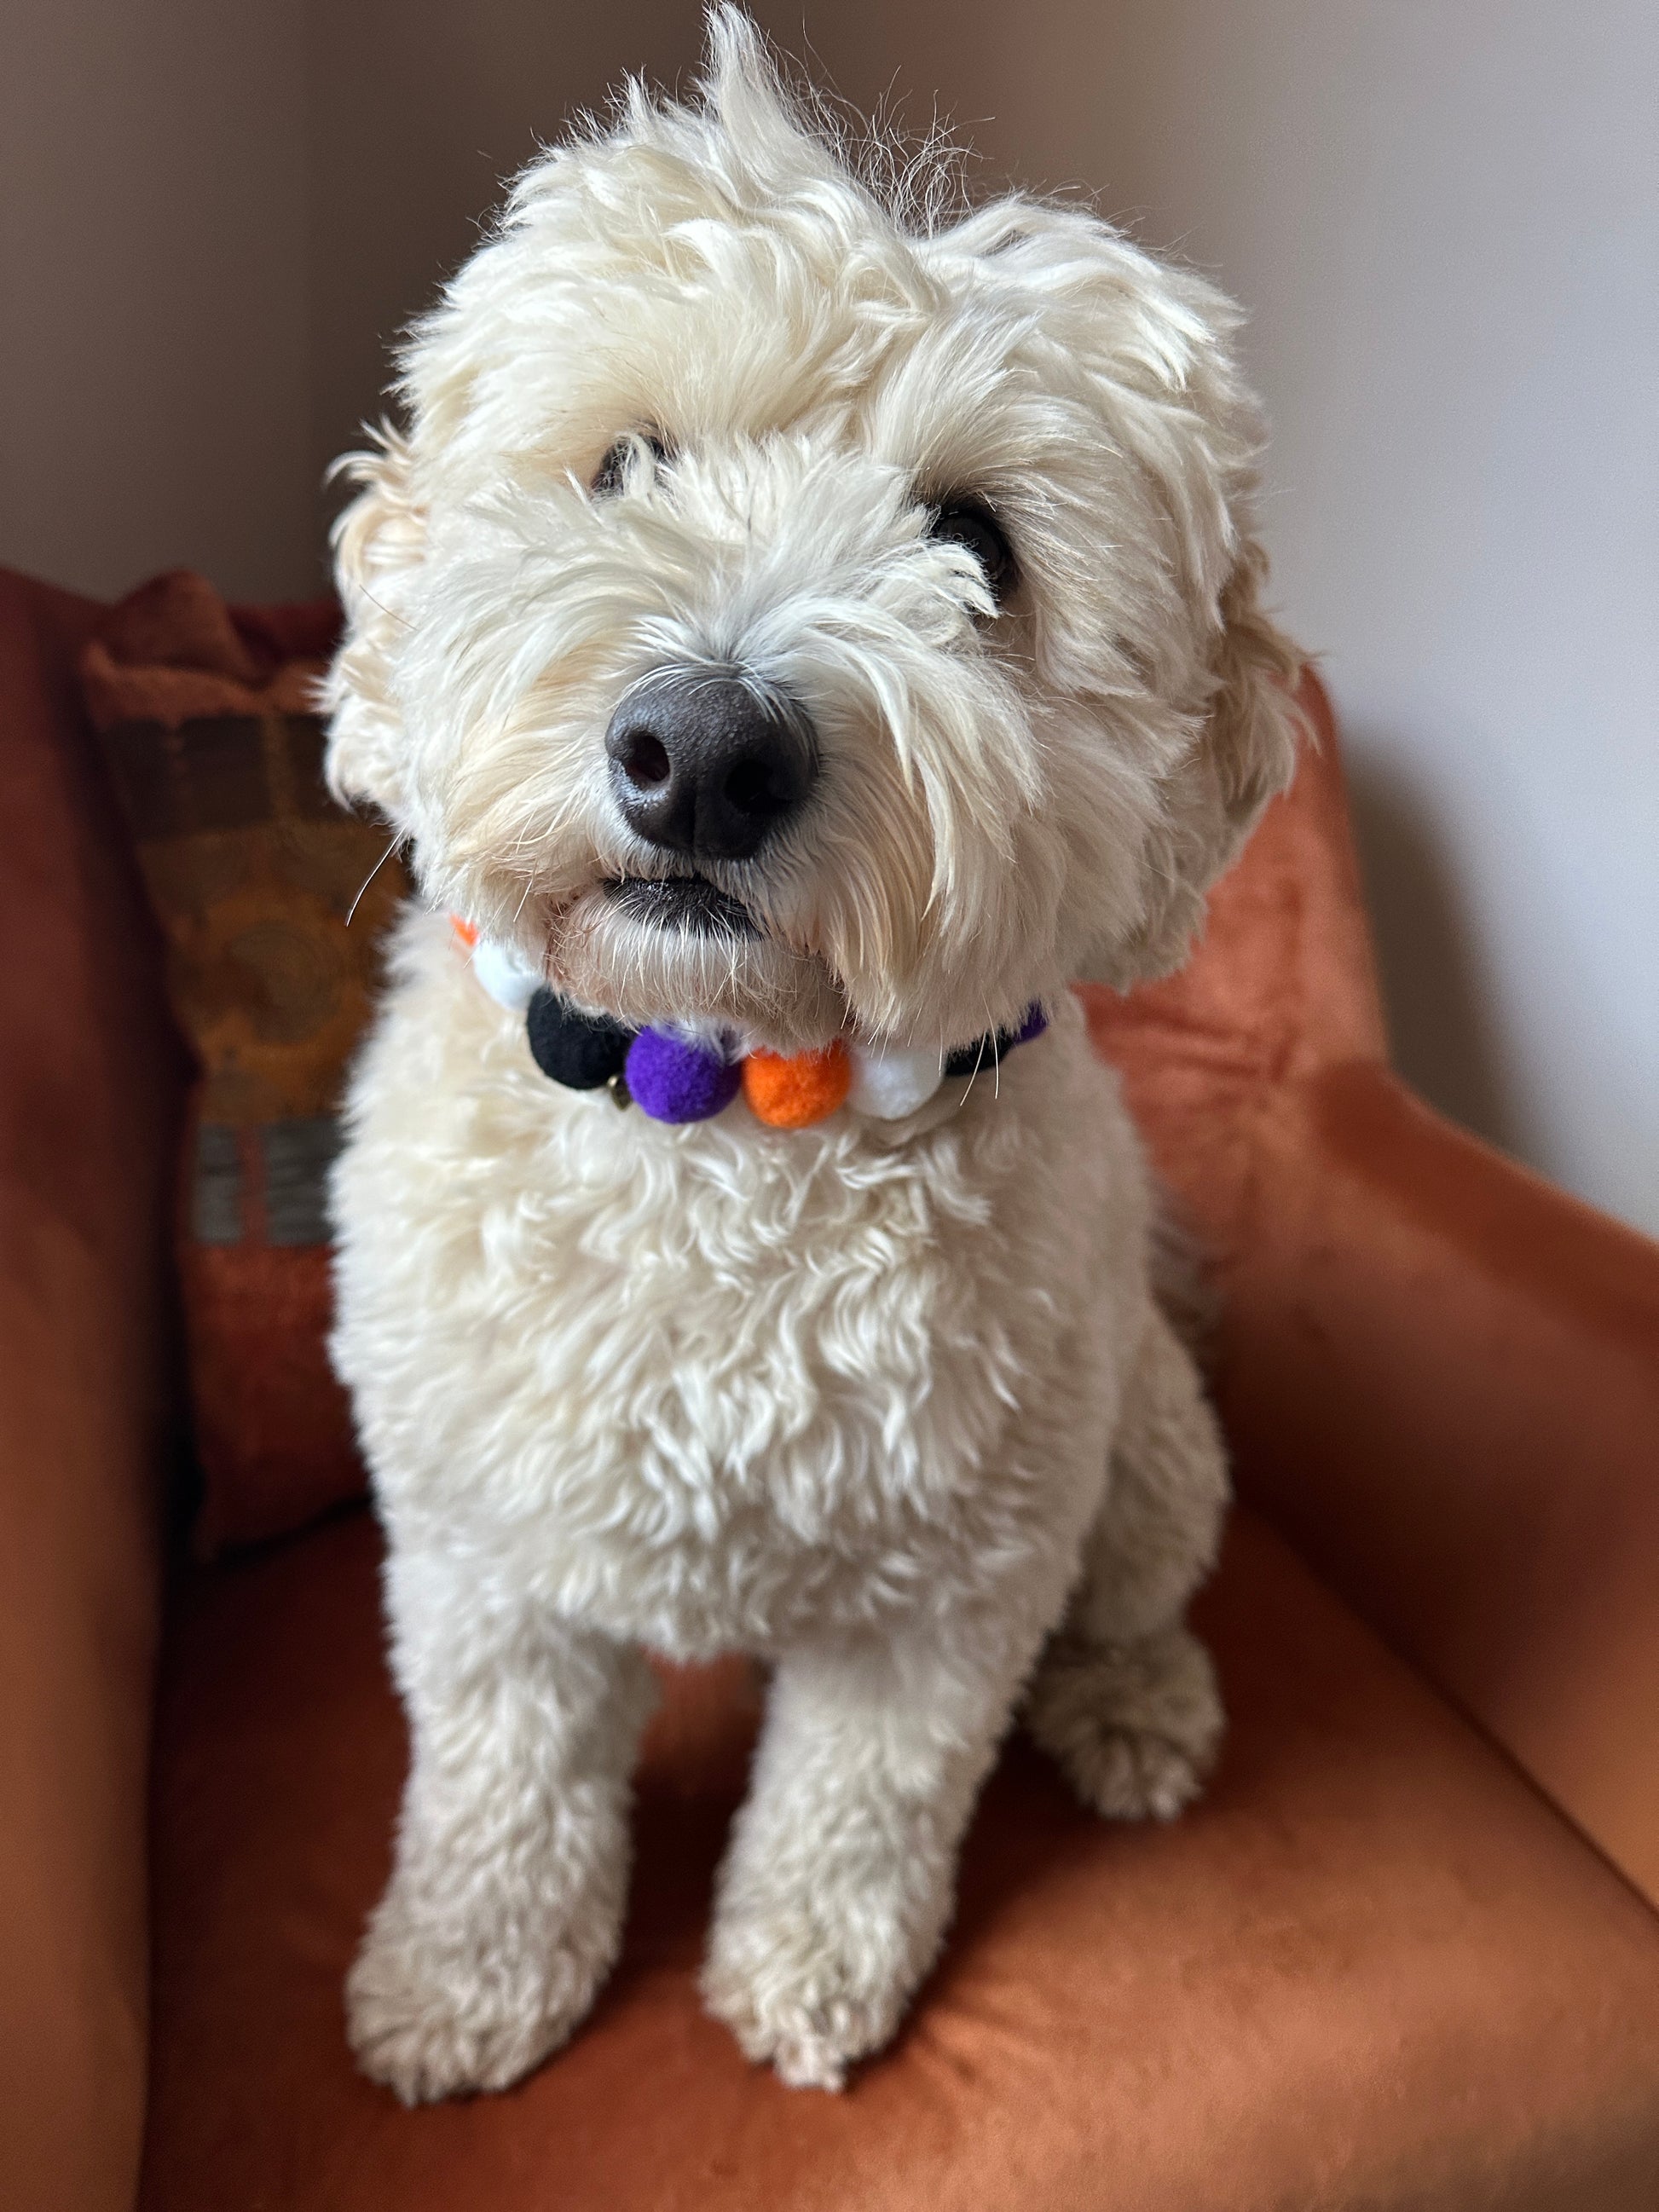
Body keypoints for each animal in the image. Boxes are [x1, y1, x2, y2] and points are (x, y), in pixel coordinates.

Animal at [325, 9, 1309, 2097]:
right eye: (624, 462)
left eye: (978, 545)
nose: (701, 751)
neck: (726, 1121)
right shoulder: (482, 1562)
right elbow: (498, 1789)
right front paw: (468, 1977)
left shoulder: (948, 1595)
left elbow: (858, 1808)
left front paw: (808, 1972)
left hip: (1139, 1452)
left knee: (1139, 1597)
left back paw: (1138, 1711)